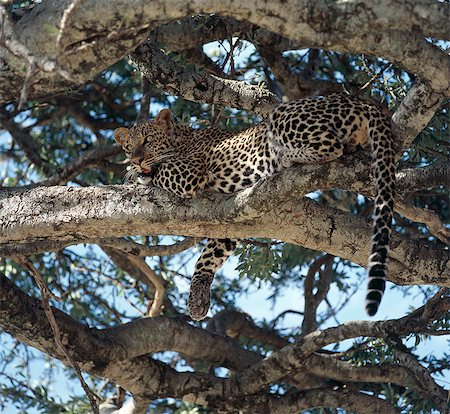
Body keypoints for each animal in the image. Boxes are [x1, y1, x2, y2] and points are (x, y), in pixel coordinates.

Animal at [114, 93, 396, 320]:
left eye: (148, 140)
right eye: (128, 147)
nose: (136, 159)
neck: (182, 139)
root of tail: (359, 100)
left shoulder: (189, 172)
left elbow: (159, 171)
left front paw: (133, 175)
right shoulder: (230, 222)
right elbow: (207, 258)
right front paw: (197, 299)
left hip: (282, 116)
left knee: (331, 147)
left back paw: (286, 157)